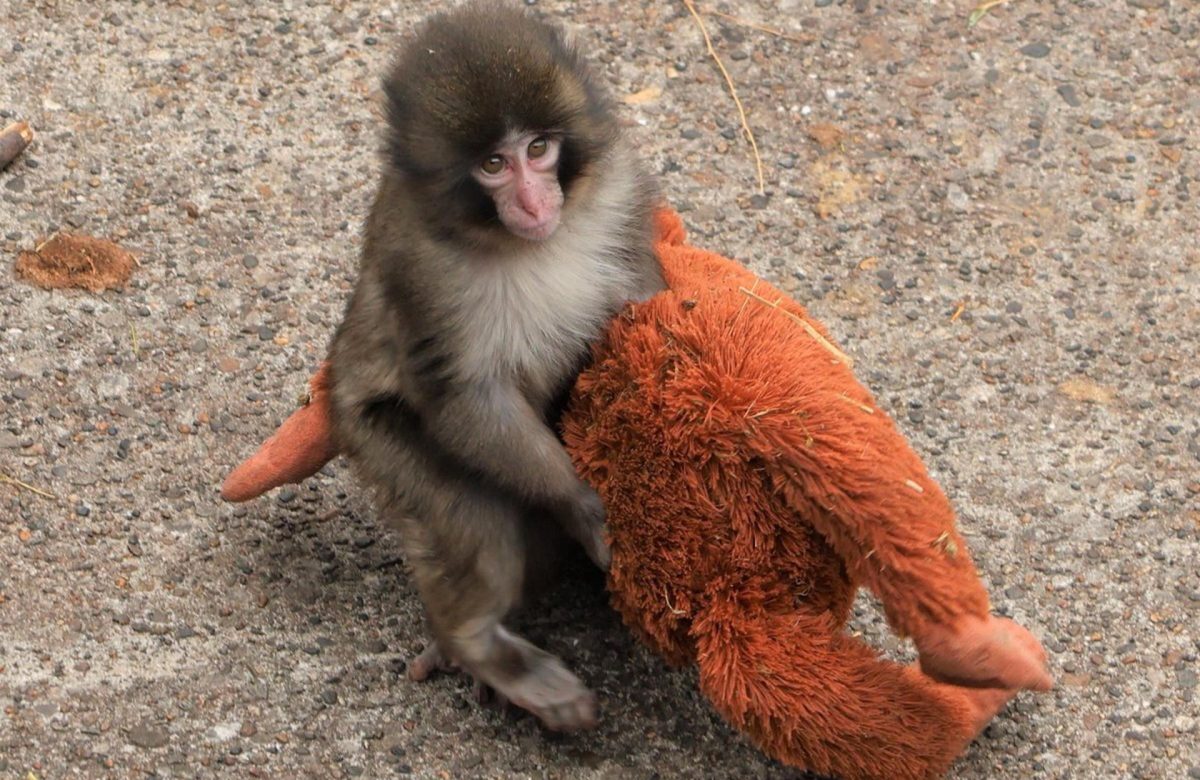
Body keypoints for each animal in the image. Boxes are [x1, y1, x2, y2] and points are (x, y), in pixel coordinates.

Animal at [326, 2, 665, 731]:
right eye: (492, 164)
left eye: (538, 150)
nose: (535, 204)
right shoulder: (420, 265)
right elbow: (464, 397)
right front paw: (582, 505)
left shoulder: (620, 193)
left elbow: (646, 303)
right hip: (372, 437)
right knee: (477, 522)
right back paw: (478, 645)